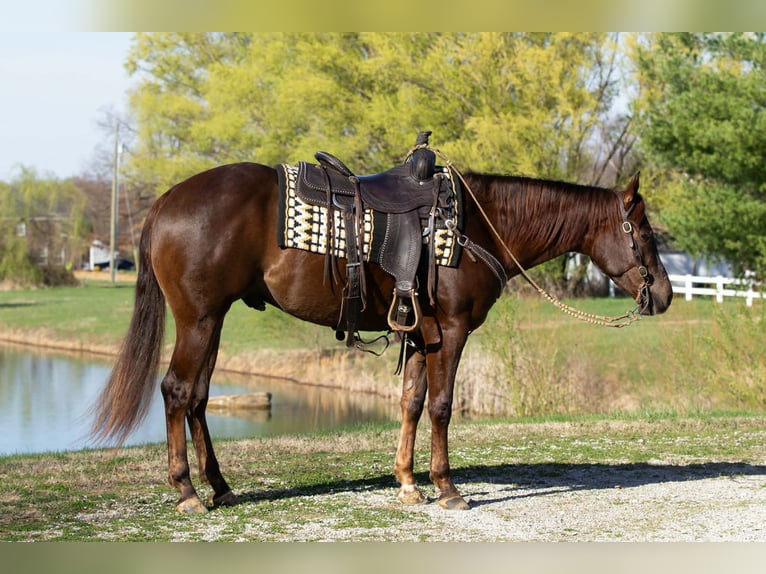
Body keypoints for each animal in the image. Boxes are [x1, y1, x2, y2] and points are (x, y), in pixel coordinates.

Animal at [90, 160, 672, 513]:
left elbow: (411, 402)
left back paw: (219, 487)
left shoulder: (421, 333)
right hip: (199, 320)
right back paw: (187, 491)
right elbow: (441, 405)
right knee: (177, 392)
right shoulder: (451, 331)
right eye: (645, 234)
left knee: (198, 398)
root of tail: (166, 201)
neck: (474, 227)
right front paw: (446, 487)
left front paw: (409, 483)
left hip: (213, 321)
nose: (664, 295)